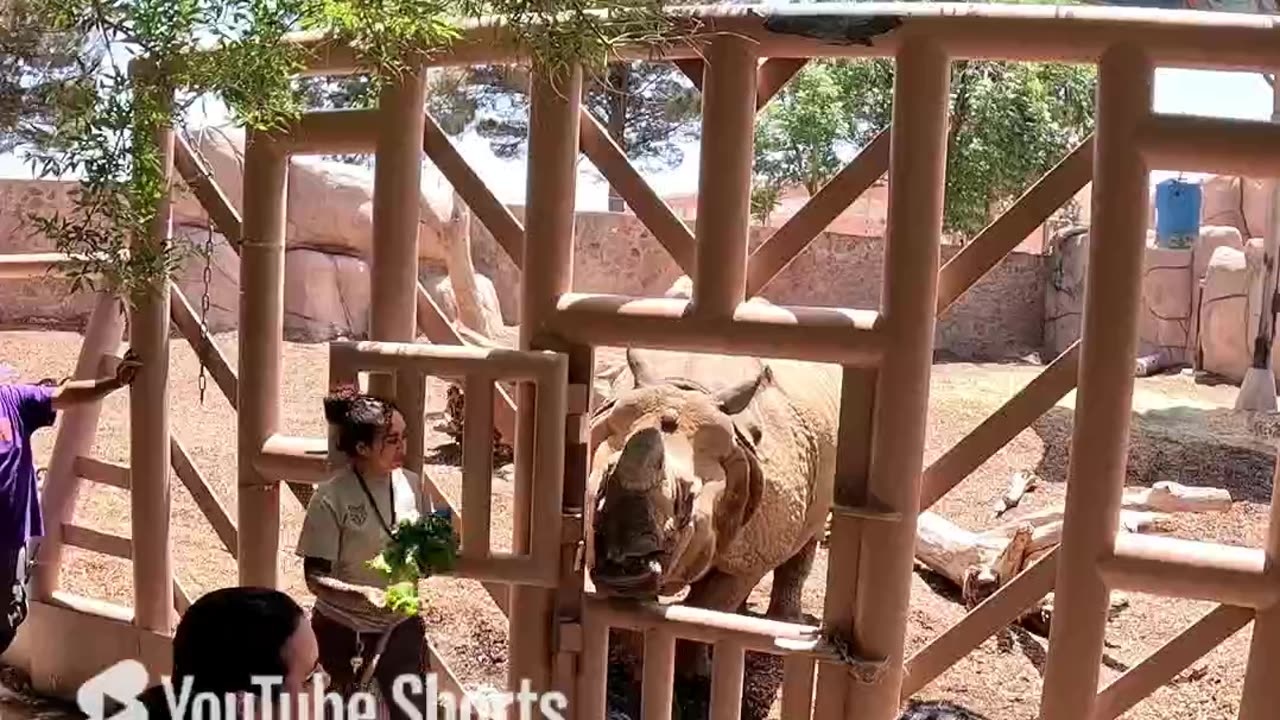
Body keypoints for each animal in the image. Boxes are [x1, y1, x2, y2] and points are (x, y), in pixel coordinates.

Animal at [584, 345, 842, 640]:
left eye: (687, 499)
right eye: (601, 482)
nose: (626, 553)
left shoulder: (748, 563)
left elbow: (706, 612)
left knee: (809, 533)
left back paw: (785, 622)